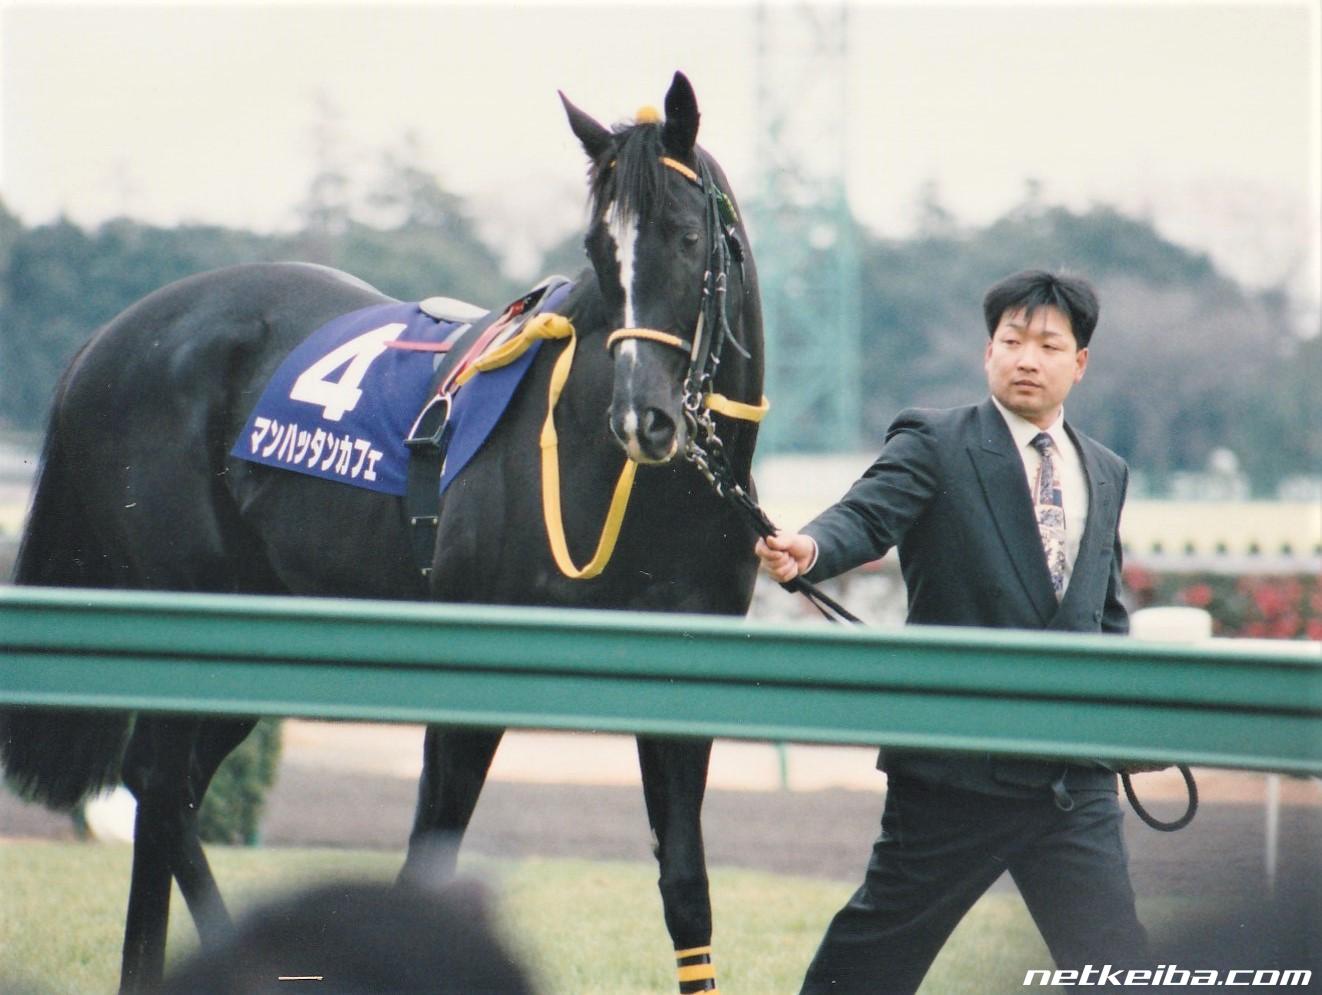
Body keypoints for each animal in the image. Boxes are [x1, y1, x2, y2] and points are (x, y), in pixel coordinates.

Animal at [2, 71, 766, 993]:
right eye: (597, 248)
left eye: (687, 239)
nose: (641, 417)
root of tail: (104, 341)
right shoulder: (473, 669)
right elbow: (422, 869)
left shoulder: (683, 678)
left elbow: (686, 888)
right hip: (193, 597)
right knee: (159, 776)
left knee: (166, 782)